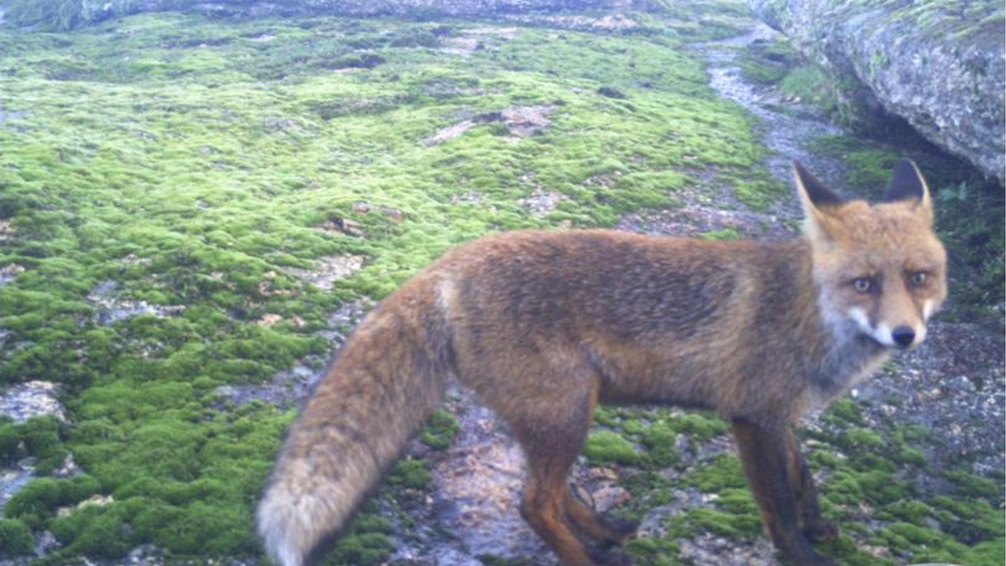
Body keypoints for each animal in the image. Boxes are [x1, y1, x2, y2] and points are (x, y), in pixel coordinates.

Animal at [257, 158, 946, 566]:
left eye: (919, 277)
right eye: (863, 284)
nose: (904, 335)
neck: (811, 314)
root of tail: (447, 263)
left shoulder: (780, 416)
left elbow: (804, 478)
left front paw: (821, 525)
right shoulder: (752, 417)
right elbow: (777, 503)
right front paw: (805, 553)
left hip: (559, 413)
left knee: (554, 495)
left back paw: (606, 533)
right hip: (567, 409)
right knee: (533, 504)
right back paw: (587, 558)